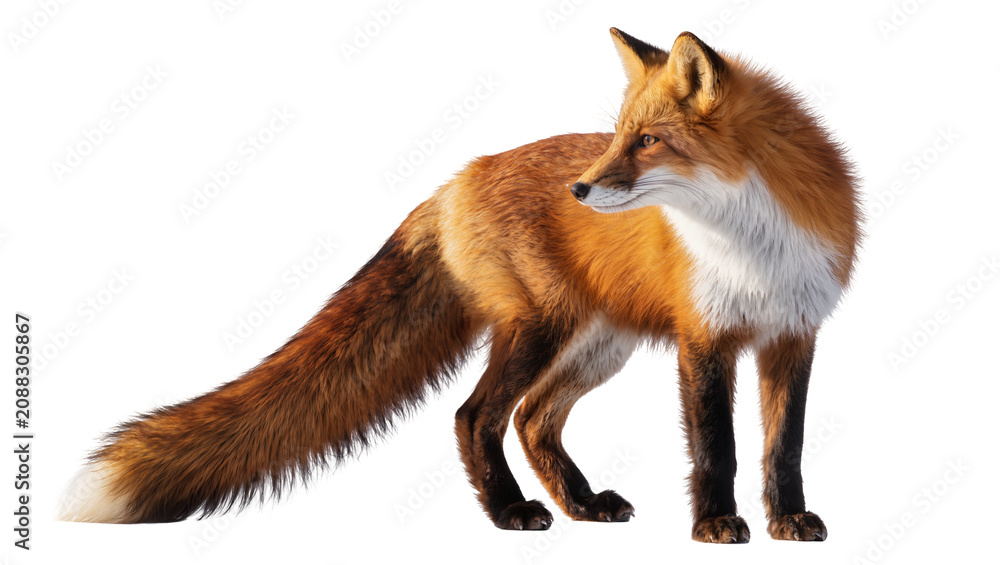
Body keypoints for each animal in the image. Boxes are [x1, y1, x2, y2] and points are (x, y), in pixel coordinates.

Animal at [59, 29, 859, 543]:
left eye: (647, 141)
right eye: (616, 137)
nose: (579, 190)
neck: (751, 241)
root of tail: (455, 180)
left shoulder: (794, 333)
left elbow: (783, 445)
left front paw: (788, 520)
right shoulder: (704, 336)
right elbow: (716, 447)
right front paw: (715, 523)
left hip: (597, 344)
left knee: (534, 420)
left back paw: (581, 505)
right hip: (543, 329)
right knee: (477, 416)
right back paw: (512, 514)